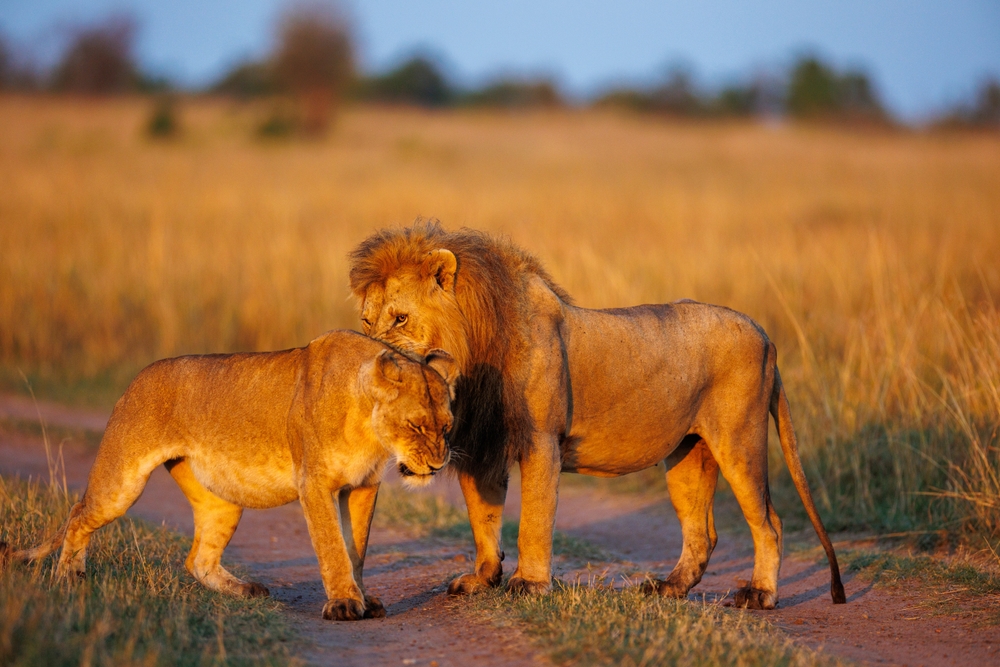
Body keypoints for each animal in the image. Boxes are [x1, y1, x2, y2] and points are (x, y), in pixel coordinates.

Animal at [3, 330, 457, 621]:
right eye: (417, 425)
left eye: (448, 427)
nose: (437, 465)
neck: (367, 423)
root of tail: (137, 378)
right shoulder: (314, 483)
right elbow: (332, 546)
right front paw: (345, 605)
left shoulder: (363, 486)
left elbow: (356, 547)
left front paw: (362, 598)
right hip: (122, 480)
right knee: (78, 514)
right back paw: (68, 576)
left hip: (224, 502)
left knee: (197, 560)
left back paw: (246, 590)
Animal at [348, 222, 846, 610]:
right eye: (367, 321)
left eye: (399, 319)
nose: (370, 360)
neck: (472, 350)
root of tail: (764, 334)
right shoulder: (482, 442)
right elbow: (483, 519)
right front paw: (483, 579)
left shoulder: (540, 441)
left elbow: (533, 520)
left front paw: (529, 584)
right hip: (688, 453)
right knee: (702, 533)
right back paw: (668, 588)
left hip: (739, 440)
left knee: (769, 524)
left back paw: (760, 595)